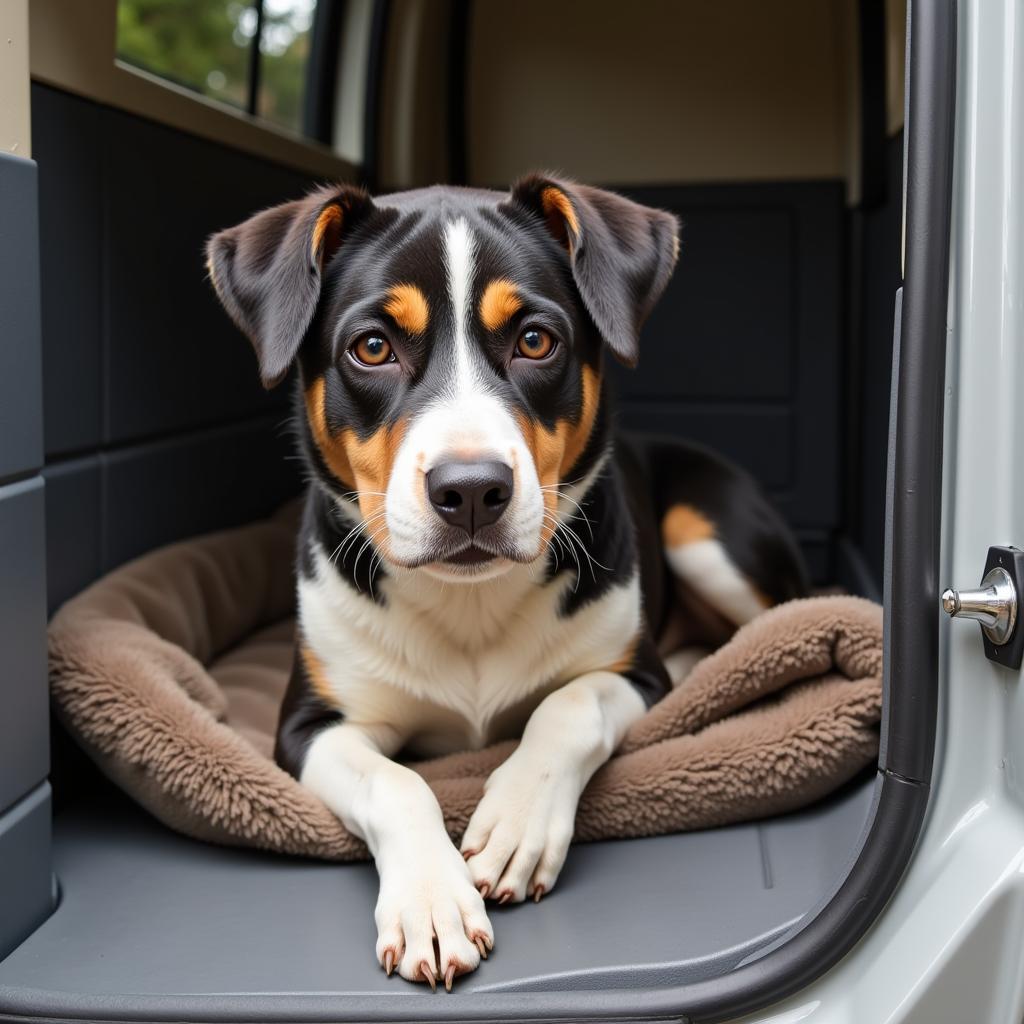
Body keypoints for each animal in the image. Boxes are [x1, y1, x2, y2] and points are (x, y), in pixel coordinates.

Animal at [203, 178, 802, 991]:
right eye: (371, 347)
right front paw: (430, 902)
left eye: (535, 341)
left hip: (704, 532)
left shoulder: (631, 674)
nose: (470, 490)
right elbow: (395, 782)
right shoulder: (309, 725)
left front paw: (516, 821)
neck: (470, 601)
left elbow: (568, 705)